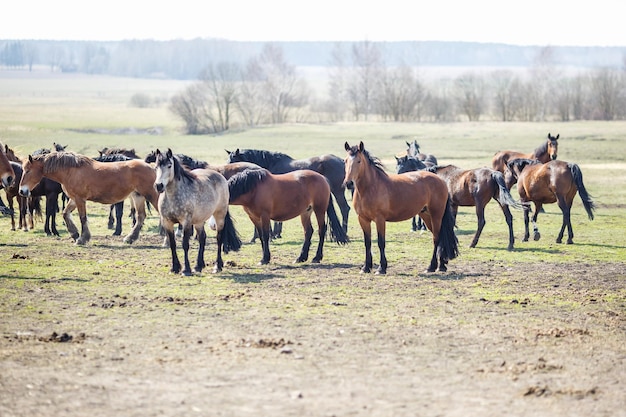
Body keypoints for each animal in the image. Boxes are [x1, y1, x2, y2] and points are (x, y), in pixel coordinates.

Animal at [19, 151, 158, 244]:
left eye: (28, 171)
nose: (22, 191)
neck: (71, 171)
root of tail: (152, 168)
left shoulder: (80, 199)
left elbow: (83, 217)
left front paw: (82, 238)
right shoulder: (74, 199)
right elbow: (65, 213)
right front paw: (74, 234)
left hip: (152, 196)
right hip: (138, 196)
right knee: (141, 217)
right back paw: (130, 238)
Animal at [342, 141, 458, 274]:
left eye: (359, 161)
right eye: (345, 161)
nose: (349, 183)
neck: (370, 188)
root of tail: (440, 180)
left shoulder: (380, 220)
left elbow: (381, 242)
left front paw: (381, 268)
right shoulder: (363, 219)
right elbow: (368, 243)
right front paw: (366, 267)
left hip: (436, 215)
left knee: (436, 238)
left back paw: (431, 266)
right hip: (426, 215)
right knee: (440, 238)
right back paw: (441, 265)